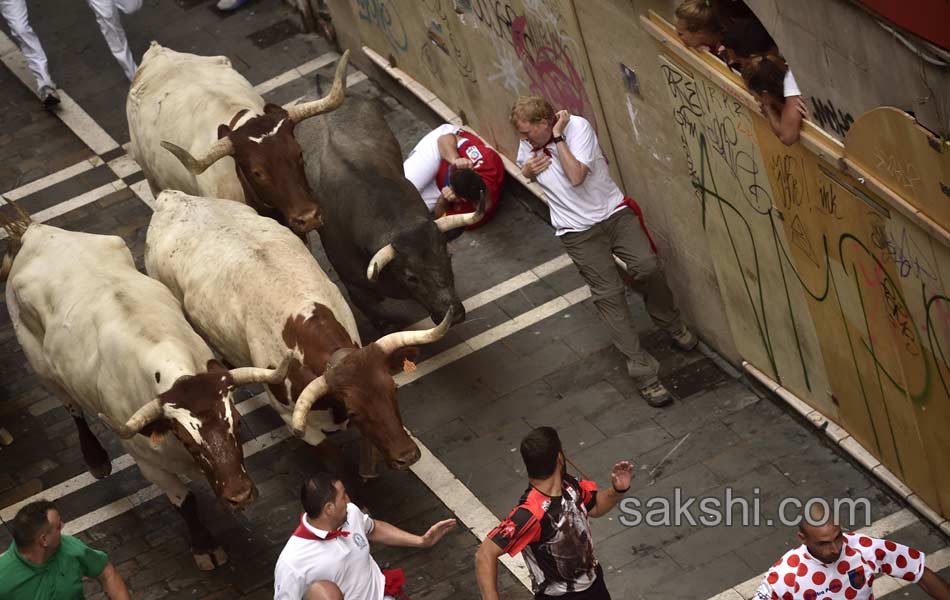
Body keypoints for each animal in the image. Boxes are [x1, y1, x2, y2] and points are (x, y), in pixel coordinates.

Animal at [3, 223, 288, 568]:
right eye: (187, 439)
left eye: (235, 421)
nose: (240, 495)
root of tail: (35, 231)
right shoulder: (147, 464)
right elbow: (185, 501)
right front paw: (204, 547)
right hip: (41, 366)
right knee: (72, 408)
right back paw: (96, 458)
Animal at [143, 190, 452, 472]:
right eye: (354, 409)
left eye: (393, 390)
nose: (407, 456)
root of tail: (171, 198)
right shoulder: (296, 422)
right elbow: (335, 462)